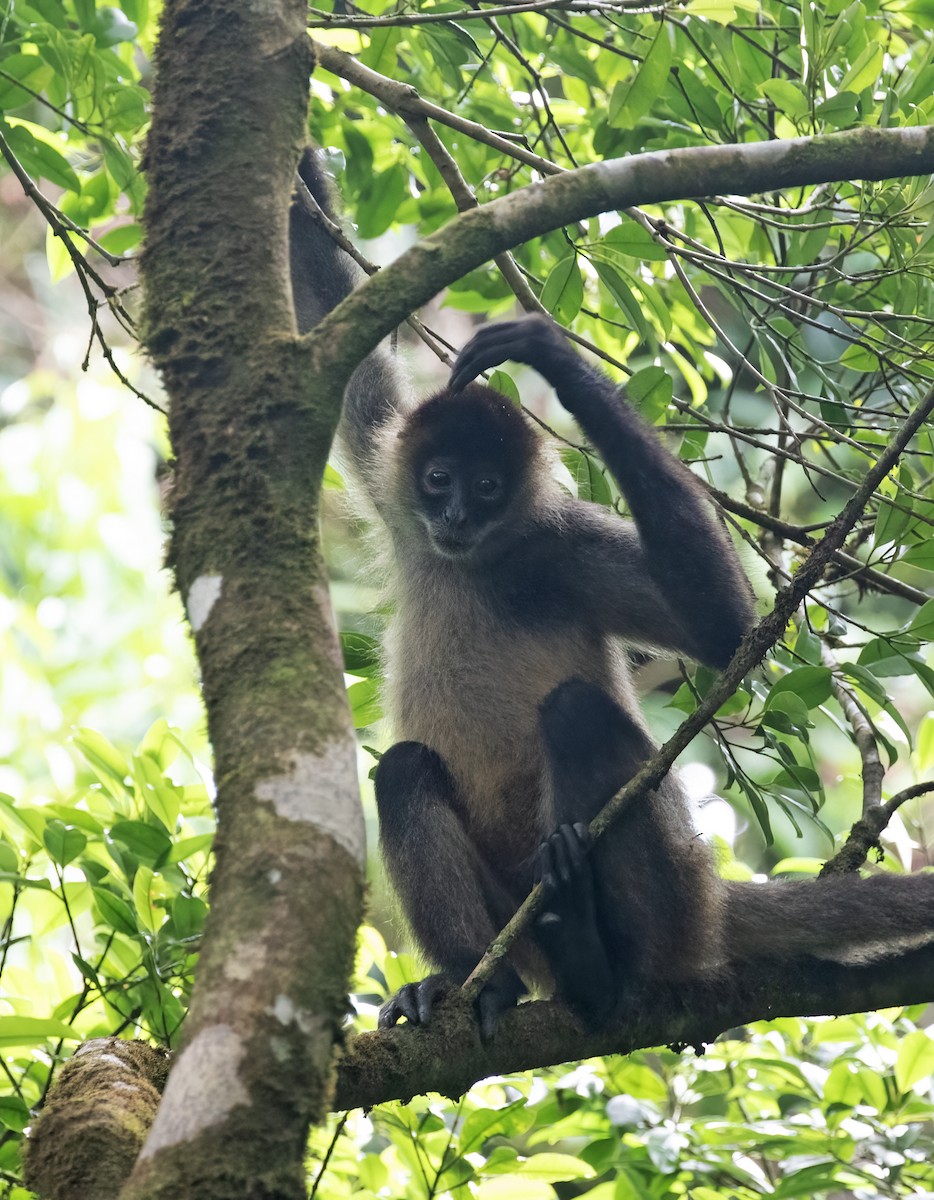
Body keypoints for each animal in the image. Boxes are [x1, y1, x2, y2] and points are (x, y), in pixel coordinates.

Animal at [291, 148, 934, 1037]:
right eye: (439, 479)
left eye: (487, 487)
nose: (454, 516)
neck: (484, 559)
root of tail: (711, 899)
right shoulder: (402, 506)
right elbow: (334, 323)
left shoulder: (563, 546)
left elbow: (725, 631)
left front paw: (558, 363)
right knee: (408, 770)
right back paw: (474, 980)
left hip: (671, 886)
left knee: (574, 713)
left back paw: (597, 962)